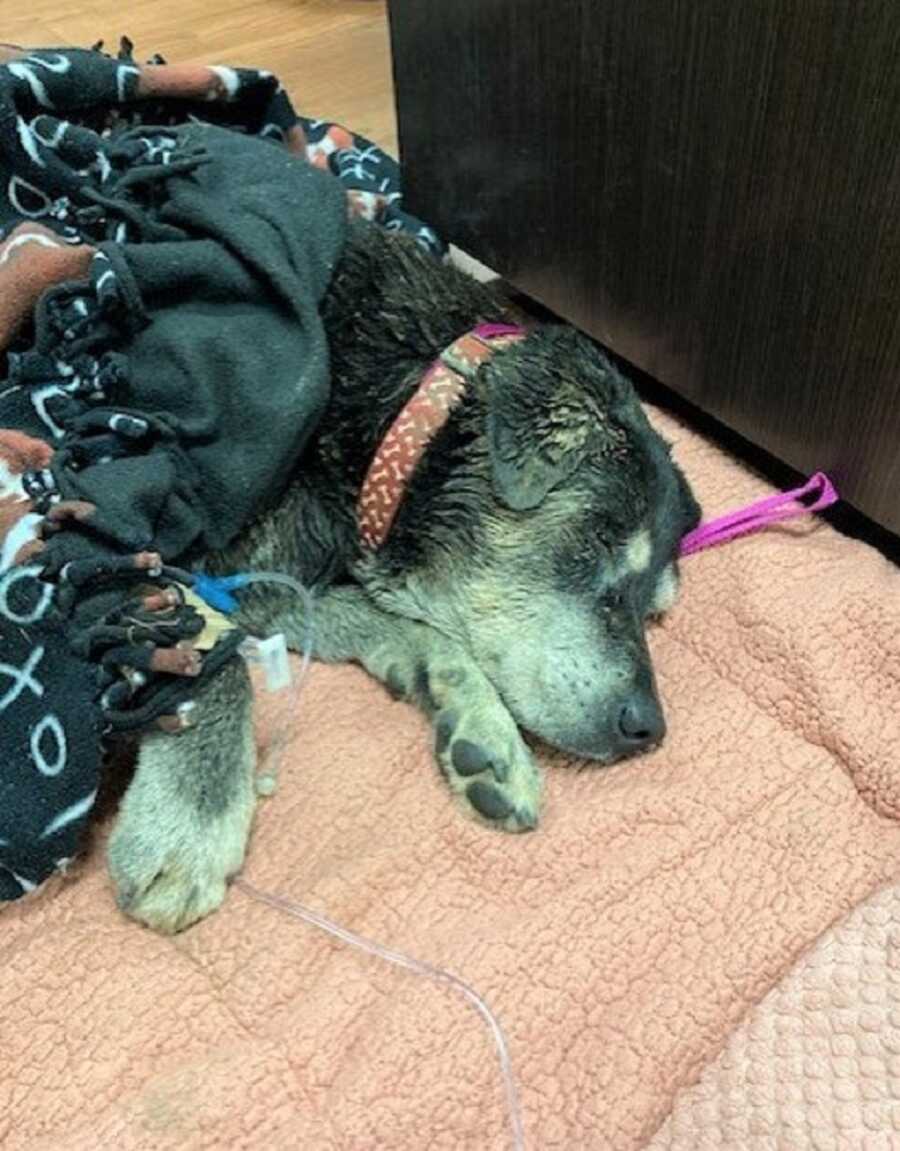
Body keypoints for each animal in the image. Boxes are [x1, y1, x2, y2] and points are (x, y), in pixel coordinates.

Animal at [107, 219, 704, 930]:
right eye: (601, 542)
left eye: (654, 610)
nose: (648, 729)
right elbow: (211, 661)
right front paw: (188, 828)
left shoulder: (280, 584)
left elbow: (400, 624)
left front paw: (480, 727)